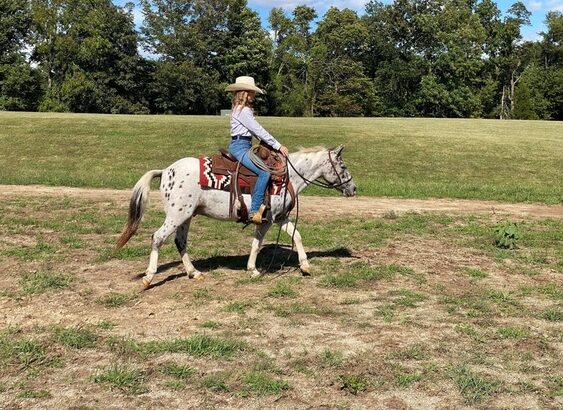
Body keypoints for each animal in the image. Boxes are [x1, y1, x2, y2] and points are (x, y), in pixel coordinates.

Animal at [115, 146, 356, 290]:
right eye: (343, 166)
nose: (353, 188)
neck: (287, 177)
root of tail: (166, 171)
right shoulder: (268, 220)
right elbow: (258, 244)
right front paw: (254, 270)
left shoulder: (279, 218)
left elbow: (295, 236)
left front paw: (305, 266)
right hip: (177, 215)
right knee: (157, 237)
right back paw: (149, 277)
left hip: (186, 216)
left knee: (180, 241)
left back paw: (194, 273)